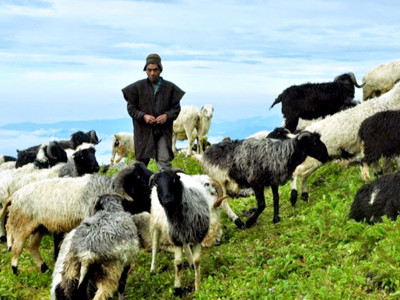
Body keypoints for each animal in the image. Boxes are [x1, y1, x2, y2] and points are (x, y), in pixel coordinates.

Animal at [199, 131, 328, 227]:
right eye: (314, 143)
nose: (326, 156)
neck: (283, 154)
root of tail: (207, 152)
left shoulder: (273, 181)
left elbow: (276, 198)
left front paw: (276, 218)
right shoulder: (256, 183)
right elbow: (262, 205)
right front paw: (250, 222)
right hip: (219, 180)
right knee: (224, 203)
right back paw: (238, 222)